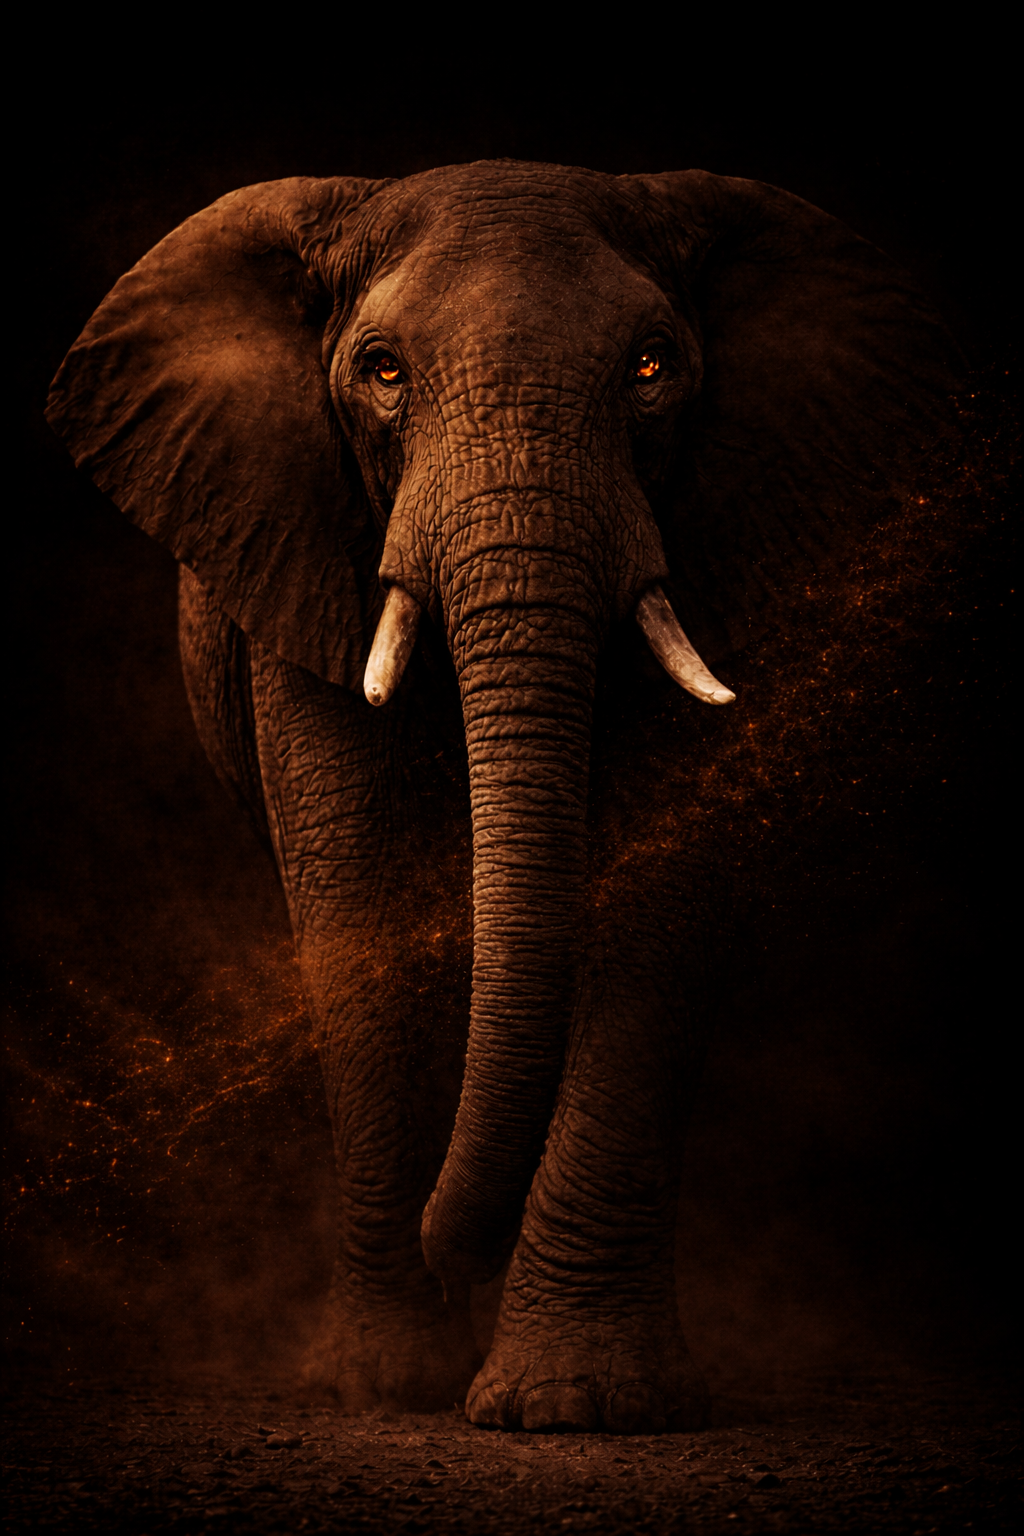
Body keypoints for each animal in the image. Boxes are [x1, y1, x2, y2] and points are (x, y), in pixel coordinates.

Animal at [46, 159, 962, 1434]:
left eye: (651, 367)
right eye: (380, 372)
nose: (456, 1248)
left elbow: (658, 904)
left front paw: (576, 1408)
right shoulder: (305, 541)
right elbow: (356, 892)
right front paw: (385, 1391)